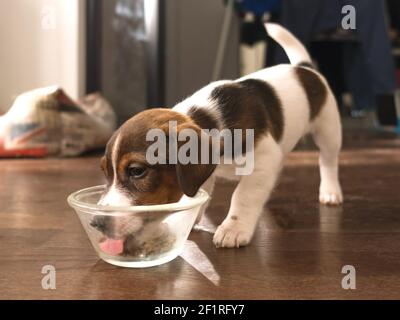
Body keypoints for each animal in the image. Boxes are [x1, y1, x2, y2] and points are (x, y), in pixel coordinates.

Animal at [92, 23, 342, 249]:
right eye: (105, 172)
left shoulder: (263, 157)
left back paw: (330, 191)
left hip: (328, 129)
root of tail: (304, 69)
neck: (209, 122)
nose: (97, 222)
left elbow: (243, 194)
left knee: (328, 161)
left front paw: (234, 228)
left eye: (137, 171)